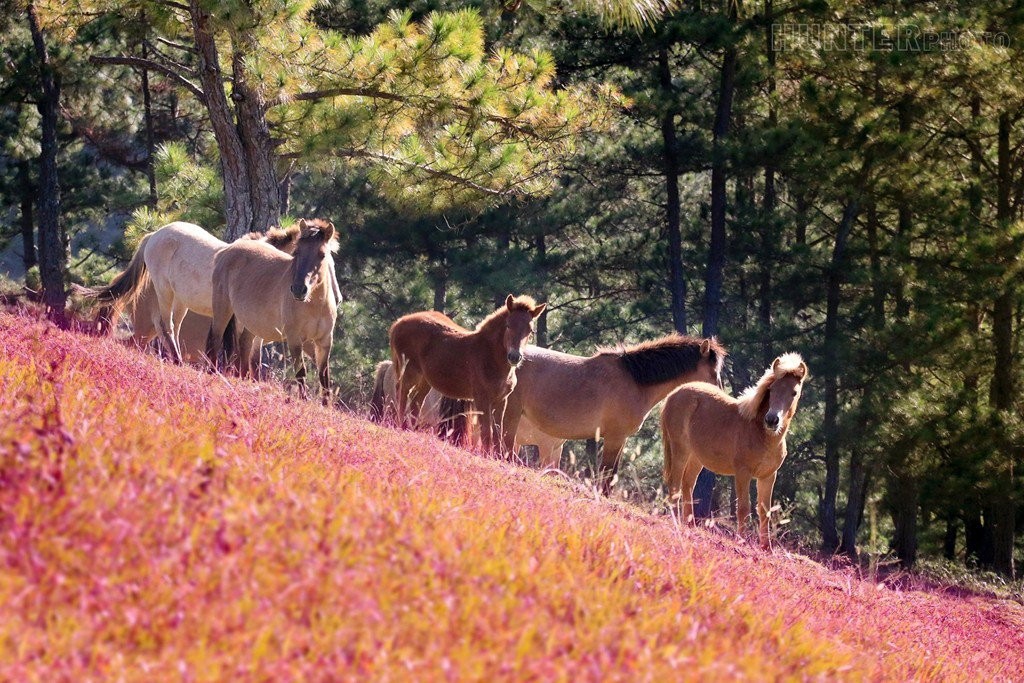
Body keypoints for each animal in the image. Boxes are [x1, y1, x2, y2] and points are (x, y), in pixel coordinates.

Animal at [209, 219, 342, 401]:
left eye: (322, 255)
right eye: (296, 252)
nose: (299, 290)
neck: (315, 306)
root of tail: (227, 250)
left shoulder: (324, 341)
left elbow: (324, 376)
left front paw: (326, 404)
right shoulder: (294, 339)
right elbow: (301, 372)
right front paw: (303, 401)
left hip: (251, 323)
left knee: (244, 347)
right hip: (223, 310)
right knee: (216, 339)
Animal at [385, 294, 544, 454]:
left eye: (530, 330)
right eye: (508, 325)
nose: (514, 357)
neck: (489, 356)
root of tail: (398, 323)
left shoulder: (501, 400)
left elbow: (499, 433)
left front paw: (495, 457)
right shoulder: (481, 398)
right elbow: (487, 432)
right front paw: (485, 455)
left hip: (425, 379)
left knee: (416, 400)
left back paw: (410, 430)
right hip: (410, 370)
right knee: (402, 392)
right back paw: (400, 425)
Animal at [505, 337, 729, 493]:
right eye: (713, 373)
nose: (719, 395)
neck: (635, 382)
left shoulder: (621, 440)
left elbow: (611, 475)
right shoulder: (614, 437)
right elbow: (607, 473)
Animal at [663, 352, 806, 548]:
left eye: (794, 392)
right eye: (771, 389)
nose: (772, 420)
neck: (761, 434)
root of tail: (674, 393)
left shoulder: (768, 476)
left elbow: (765, 511)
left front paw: (766, 548)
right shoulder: (743, 473)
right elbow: (743, 508)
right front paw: (741, 540)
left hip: (696, 458)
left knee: (687, 485)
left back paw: (689, 525)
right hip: (680, 450)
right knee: (675, 486)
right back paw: (676, 522)